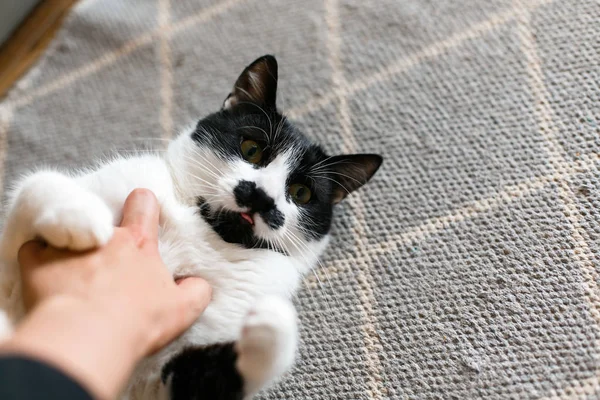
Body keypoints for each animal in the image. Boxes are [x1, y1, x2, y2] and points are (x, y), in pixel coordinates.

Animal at [0, 54, 382, 398]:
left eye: (301, 193)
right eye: (252, 149)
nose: (261, 197)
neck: (206, 232)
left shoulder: (158, 379)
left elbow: (209, 376)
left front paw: (274, 324)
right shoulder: (12, 261)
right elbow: (35, 187)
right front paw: (80, 218)